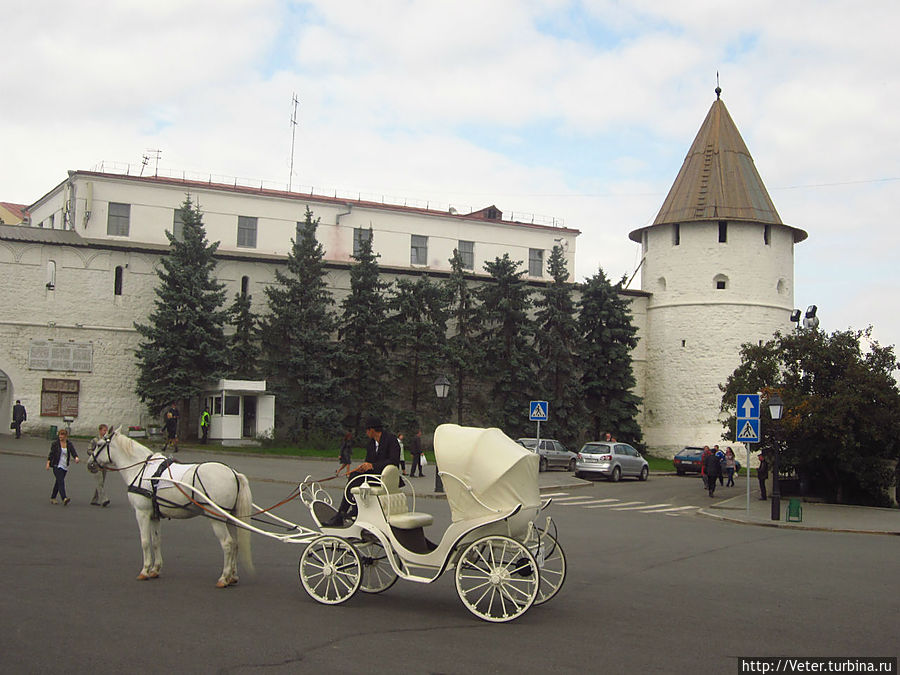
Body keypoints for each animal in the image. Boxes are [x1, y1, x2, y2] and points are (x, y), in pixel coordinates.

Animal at [88, 430, 253, 588]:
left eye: (99, 445)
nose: (90, 464)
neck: (141, 470)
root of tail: (233, 474)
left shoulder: (142, 513)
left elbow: (145, 542)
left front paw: (145, 570)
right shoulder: (154, 516)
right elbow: (156, 541)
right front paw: (155, 569)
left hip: (217, 519)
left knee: (227, 544)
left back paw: (224, 577)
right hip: (230, 517)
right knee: (235, 544)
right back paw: (233, 577)